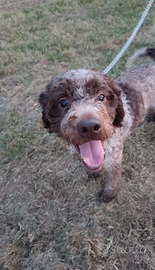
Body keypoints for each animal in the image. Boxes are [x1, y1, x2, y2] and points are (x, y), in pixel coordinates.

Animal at [39, 48, 155, 202]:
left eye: (101, 96)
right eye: (63, 102)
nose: (89, 127)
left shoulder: (114, 161)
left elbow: (111, 181)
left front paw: (108, 195)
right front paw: (93, 173)